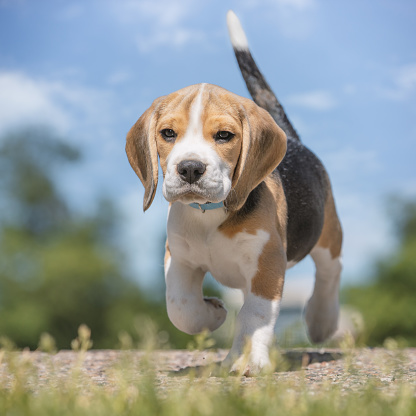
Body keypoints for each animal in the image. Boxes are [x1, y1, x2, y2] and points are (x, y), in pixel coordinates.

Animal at [126, 9, 342, 376]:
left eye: (224, 135)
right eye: (167, 133)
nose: (190, 168)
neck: (209, 213)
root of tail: (291, 138)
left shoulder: (267, 263)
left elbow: (255, 315)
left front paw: (247, 359)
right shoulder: (179, 258)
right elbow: (180, 307)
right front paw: (212, 314)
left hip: (326, 233)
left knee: (330, 272)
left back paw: (320, 321)